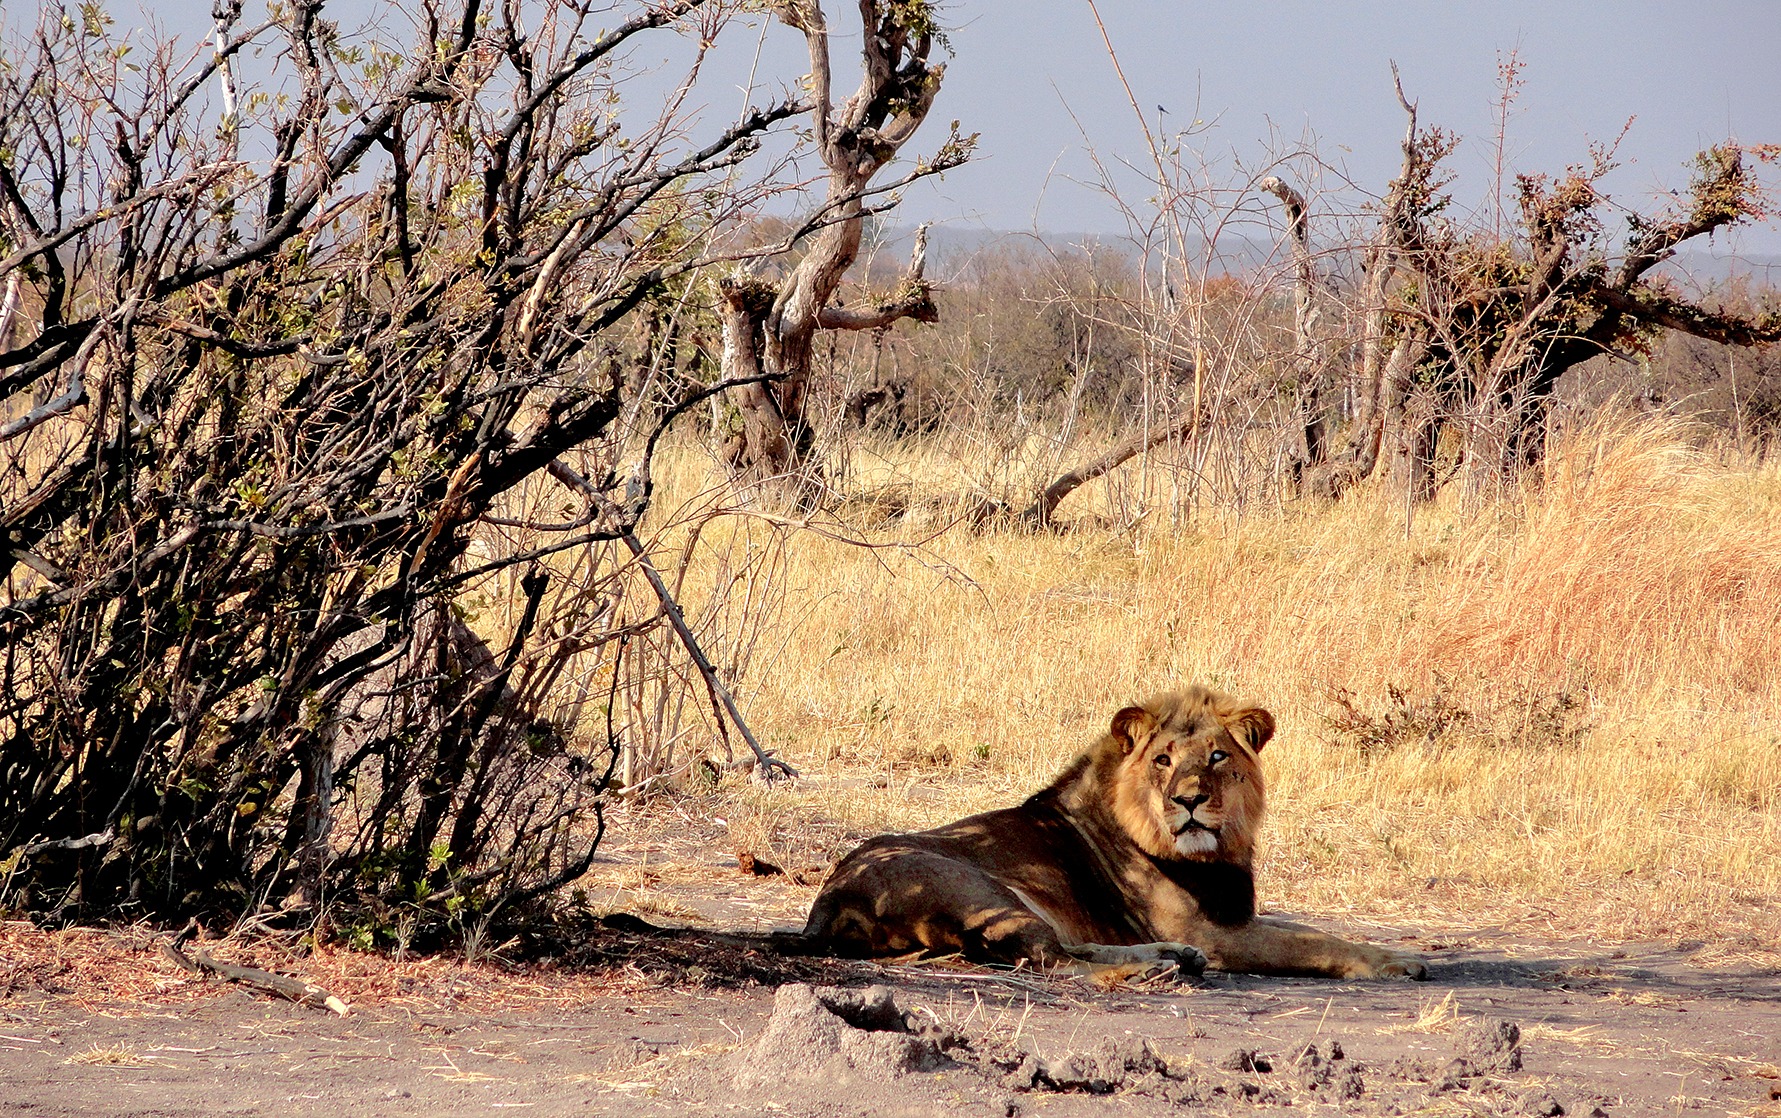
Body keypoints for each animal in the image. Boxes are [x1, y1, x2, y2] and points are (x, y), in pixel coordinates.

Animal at [802, 686, 1427, 980]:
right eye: (1163, 760)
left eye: (1217, 756)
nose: (1189, 800)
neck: (1217, 855)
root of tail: (829, 896)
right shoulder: (1216, 933)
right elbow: (1314, 942)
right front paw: (1396, 964)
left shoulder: (1227, 918)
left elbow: (1309, 929)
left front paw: (1395, 951)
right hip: (982, 889)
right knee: (1055, 961)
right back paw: (1153, 968)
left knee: (1066, 947)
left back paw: (1172, 957)